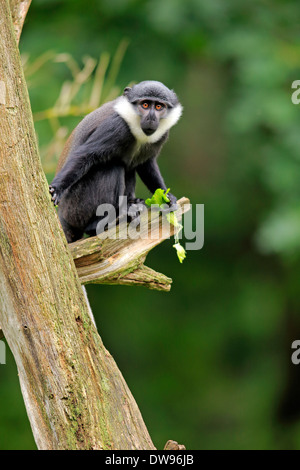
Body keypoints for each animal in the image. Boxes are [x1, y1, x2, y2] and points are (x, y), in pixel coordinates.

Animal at [49, 80, 183, 242]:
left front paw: (167, 197)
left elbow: (146, 164)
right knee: (113, 166)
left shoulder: (162, 135)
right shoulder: (117, 126)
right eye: (145, 105)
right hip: (76, 208)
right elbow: (85, 155)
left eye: (159, 107)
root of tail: (63, 216)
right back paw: (105, 221)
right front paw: (57, 188)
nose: (151, 118)